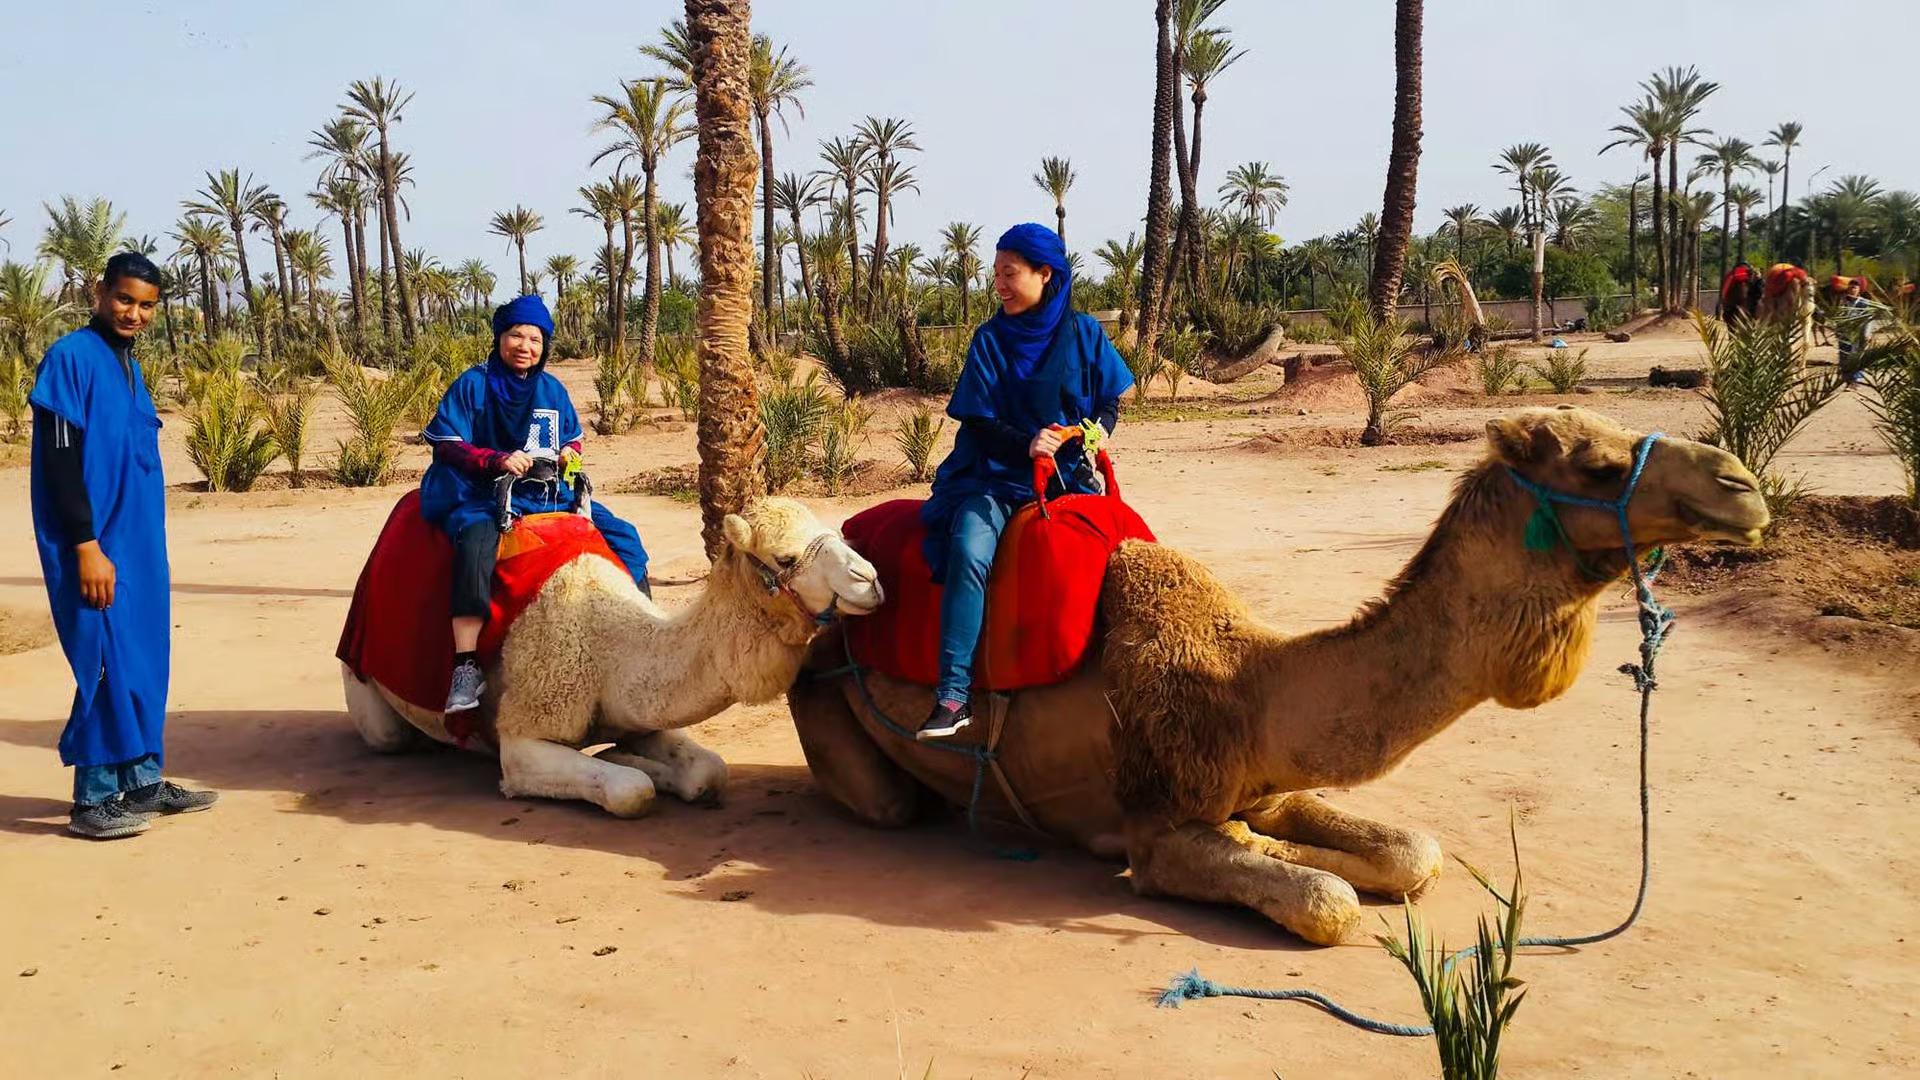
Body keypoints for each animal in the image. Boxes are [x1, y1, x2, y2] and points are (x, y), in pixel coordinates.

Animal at [343, 498, 883, 817]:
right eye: (785, 558)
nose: (870, 579)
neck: (607, 650)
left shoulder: (637, 711)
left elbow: (708, 772)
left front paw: (627, 757)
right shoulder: (523, 734)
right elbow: (630, 791)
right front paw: (629, 768)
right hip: (365, 680)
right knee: (389, 734)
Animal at [789, 407, 1769, 944]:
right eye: (1598, 465)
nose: (1742, 485)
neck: (1247, 688)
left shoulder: (1270, 783)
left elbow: (1413, 853)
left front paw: (1332, 858)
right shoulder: (1161, 825)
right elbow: (1326, 900)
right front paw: (1289, 870)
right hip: (824, 705)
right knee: (890, 802)